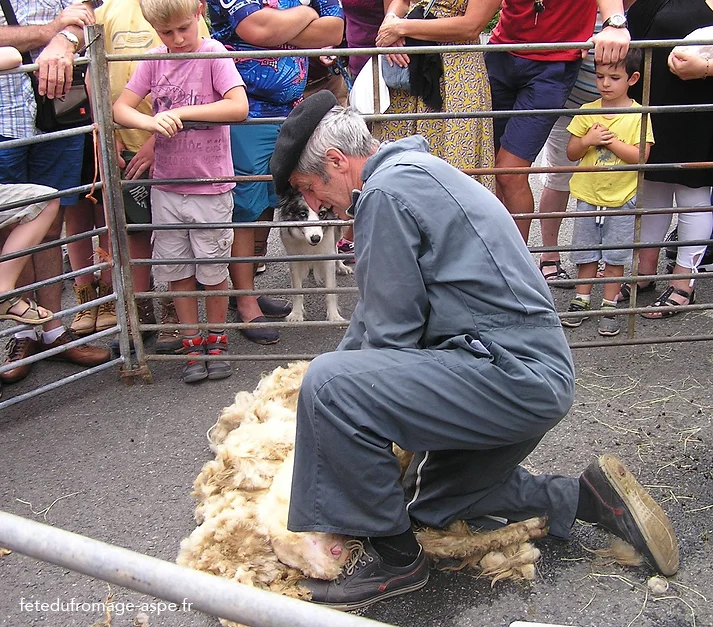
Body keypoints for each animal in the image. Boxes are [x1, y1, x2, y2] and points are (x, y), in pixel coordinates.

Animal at [276, 189, 352, 322]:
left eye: (322, 213)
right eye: (302, 214)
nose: (316, 238)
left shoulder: (327, 255)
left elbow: (330, 291)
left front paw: (334, 316)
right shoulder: (293, 258)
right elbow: (297, 290)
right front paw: (296, 314)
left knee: (336, 245)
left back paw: (341, 266)